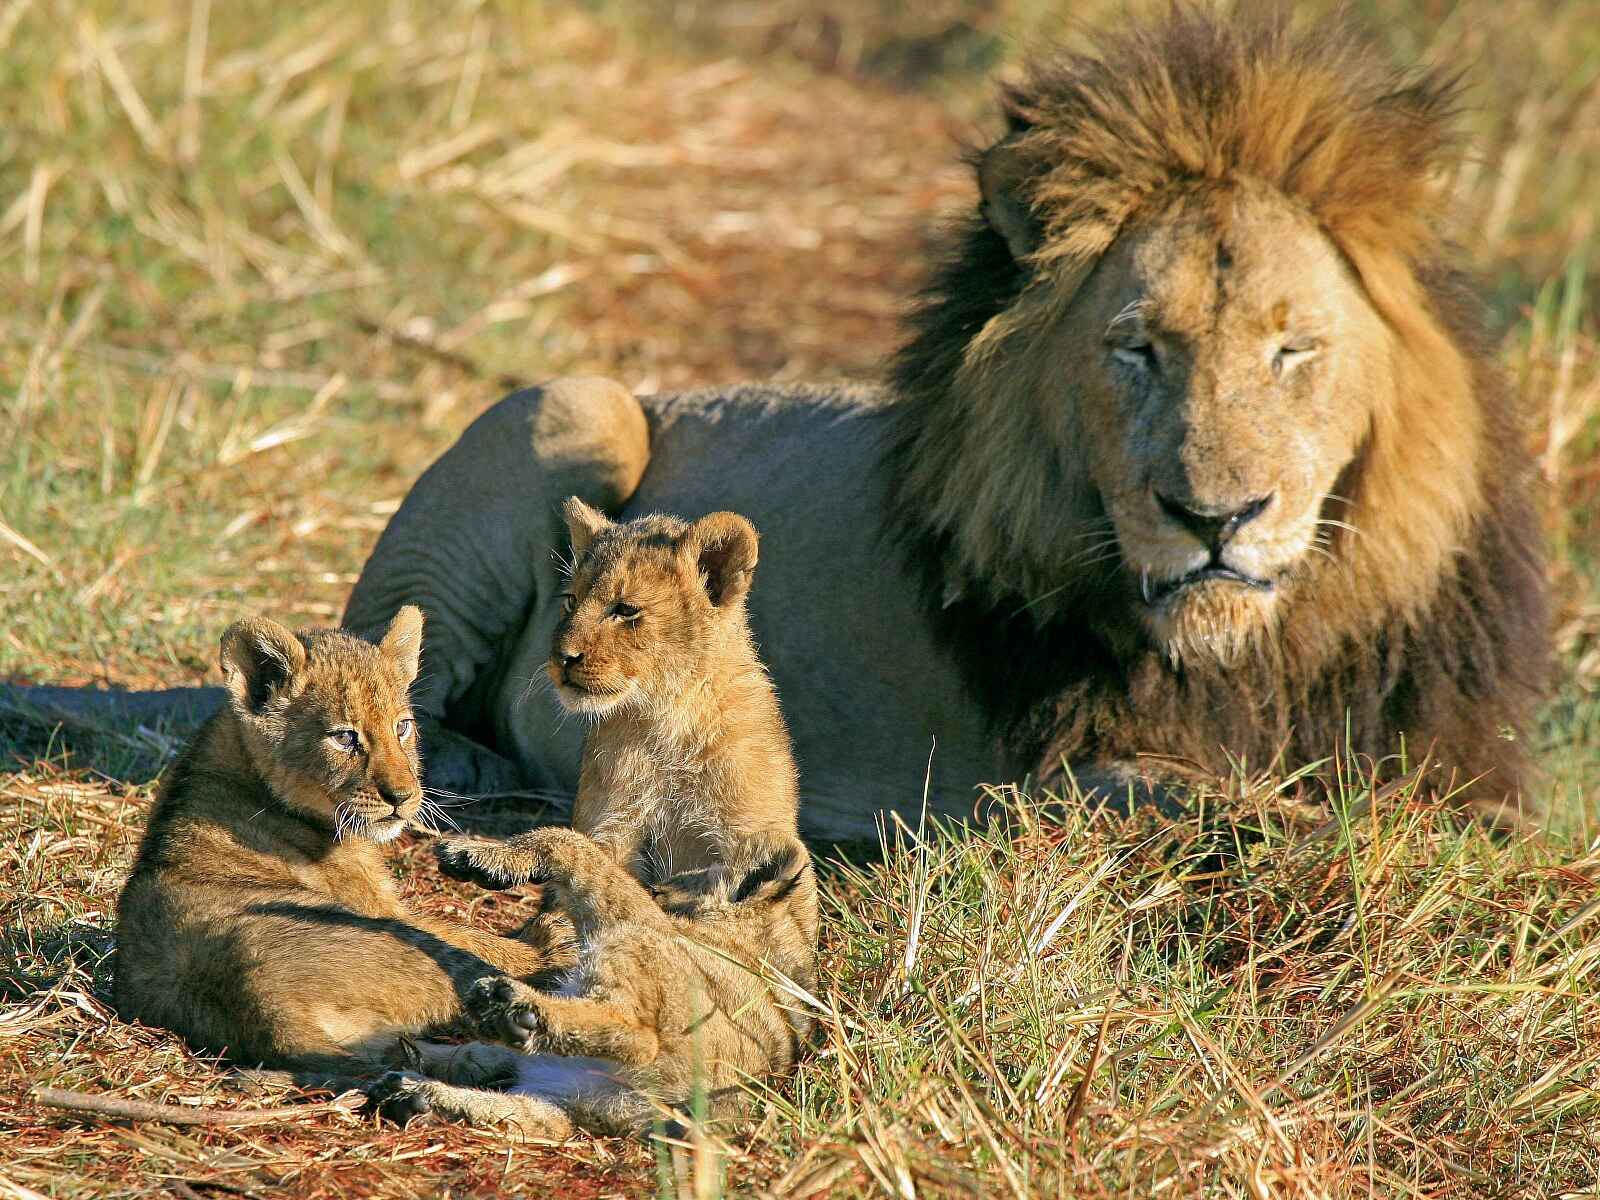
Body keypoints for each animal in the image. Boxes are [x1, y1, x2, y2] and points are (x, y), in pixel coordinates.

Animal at [113, 608, 557, 1083]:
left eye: (402, 727)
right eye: (345, 737)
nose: (403, 797)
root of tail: (255, 1003)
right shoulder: (385, 908)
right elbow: (475, 937)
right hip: (395, 939)